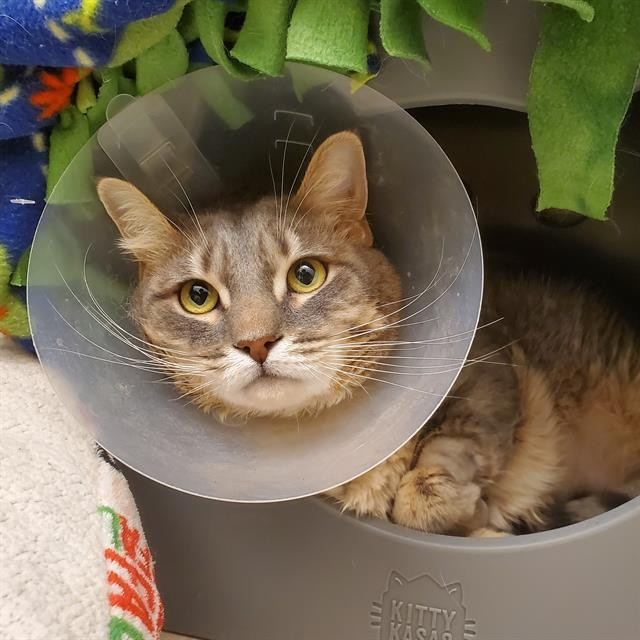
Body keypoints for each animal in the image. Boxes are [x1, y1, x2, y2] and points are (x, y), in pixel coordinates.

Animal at [96, 129, 640, 536]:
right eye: (198, 296)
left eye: (306, 275)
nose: (256, 343)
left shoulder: (489, 367)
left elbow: (442, 468)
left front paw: (463, 508)